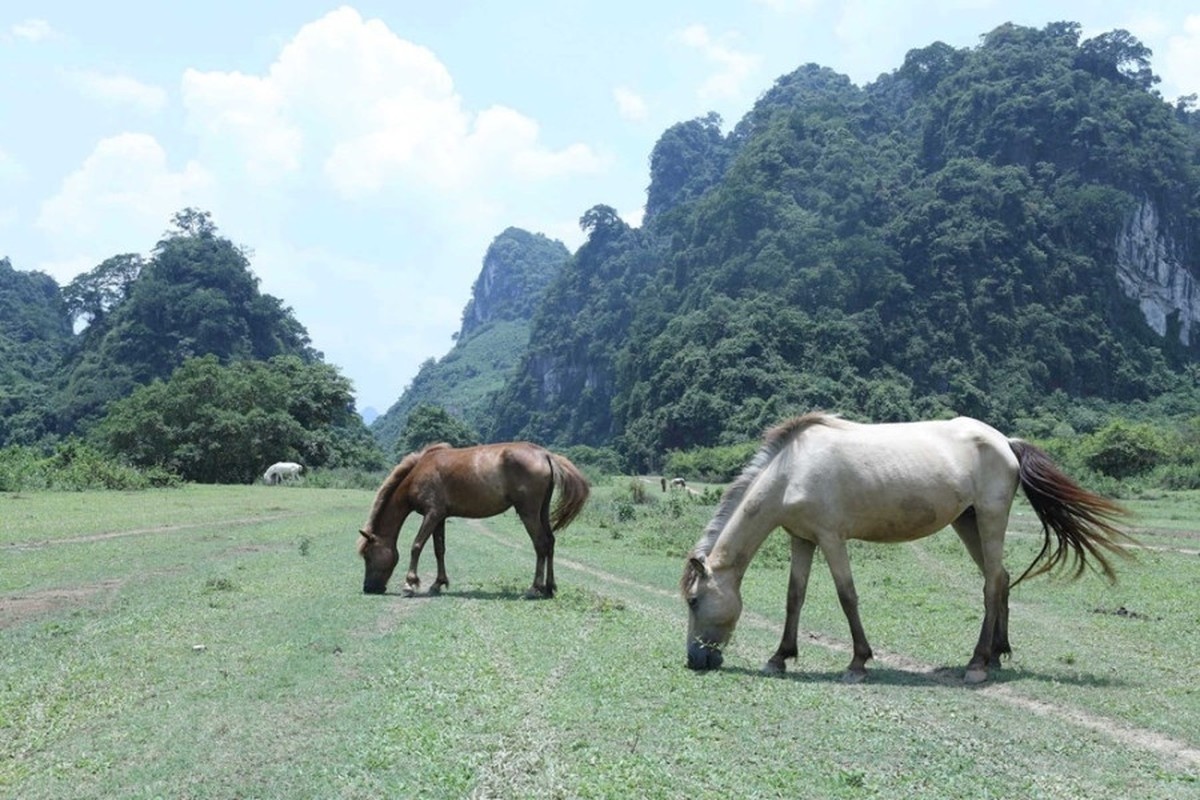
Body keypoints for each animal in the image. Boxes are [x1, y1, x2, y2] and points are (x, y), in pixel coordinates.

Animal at [355, 443, 590, 599]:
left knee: (540, 544)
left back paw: (534, 588)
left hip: (528, 512)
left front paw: (410, 584)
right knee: (550, 542)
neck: (418, 473)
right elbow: (439, 549)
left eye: (368, 555)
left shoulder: (432, 514)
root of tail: (545, 454)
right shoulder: (439, 517)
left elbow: (417, 546)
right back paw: (549, 588)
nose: (368, 588)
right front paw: (438, 583)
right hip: (542, 511)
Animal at [681, 417, 1128, 686]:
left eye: (693, 600)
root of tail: (1005, 440)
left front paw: (858, 662)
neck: (792, 471)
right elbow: (795, 597)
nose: (694, 660)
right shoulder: (802, 538)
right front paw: (780, 657)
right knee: (999, 579)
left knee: (990, 585)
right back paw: (997, 655)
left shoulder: (831, 538)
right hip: (967, 522)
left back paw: (977, 664)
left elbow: (846, 596)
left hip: (989, 518)